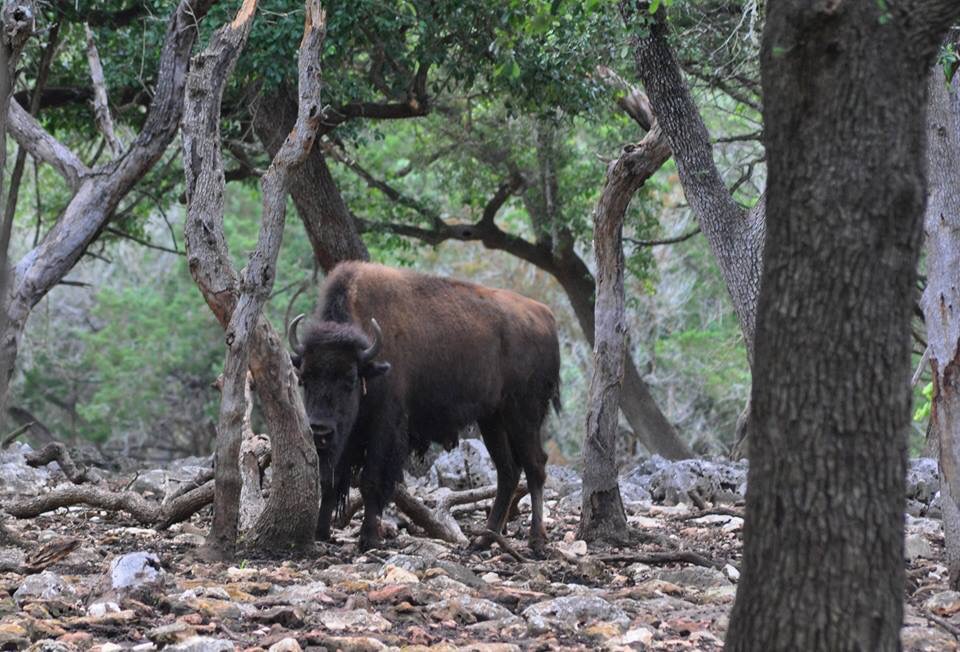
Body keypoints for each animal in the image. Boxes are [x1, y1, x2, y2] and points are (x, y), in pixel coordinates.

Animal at [288, 261, 561, 552]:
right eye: (304, 378)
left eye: (349, 379)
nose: (319, 429)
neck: (369, 365)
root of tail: (546, 315)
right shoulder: (348, 433)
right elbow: (331, 479)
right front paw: (320, 533)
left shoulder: (384, 423)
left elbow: (370, 479)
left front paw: (369, 538)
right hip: (493, 419)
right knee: (507, 470)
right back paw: (484, 539)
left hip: (523, 414)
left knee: (535, 466)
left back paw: (536, 540)